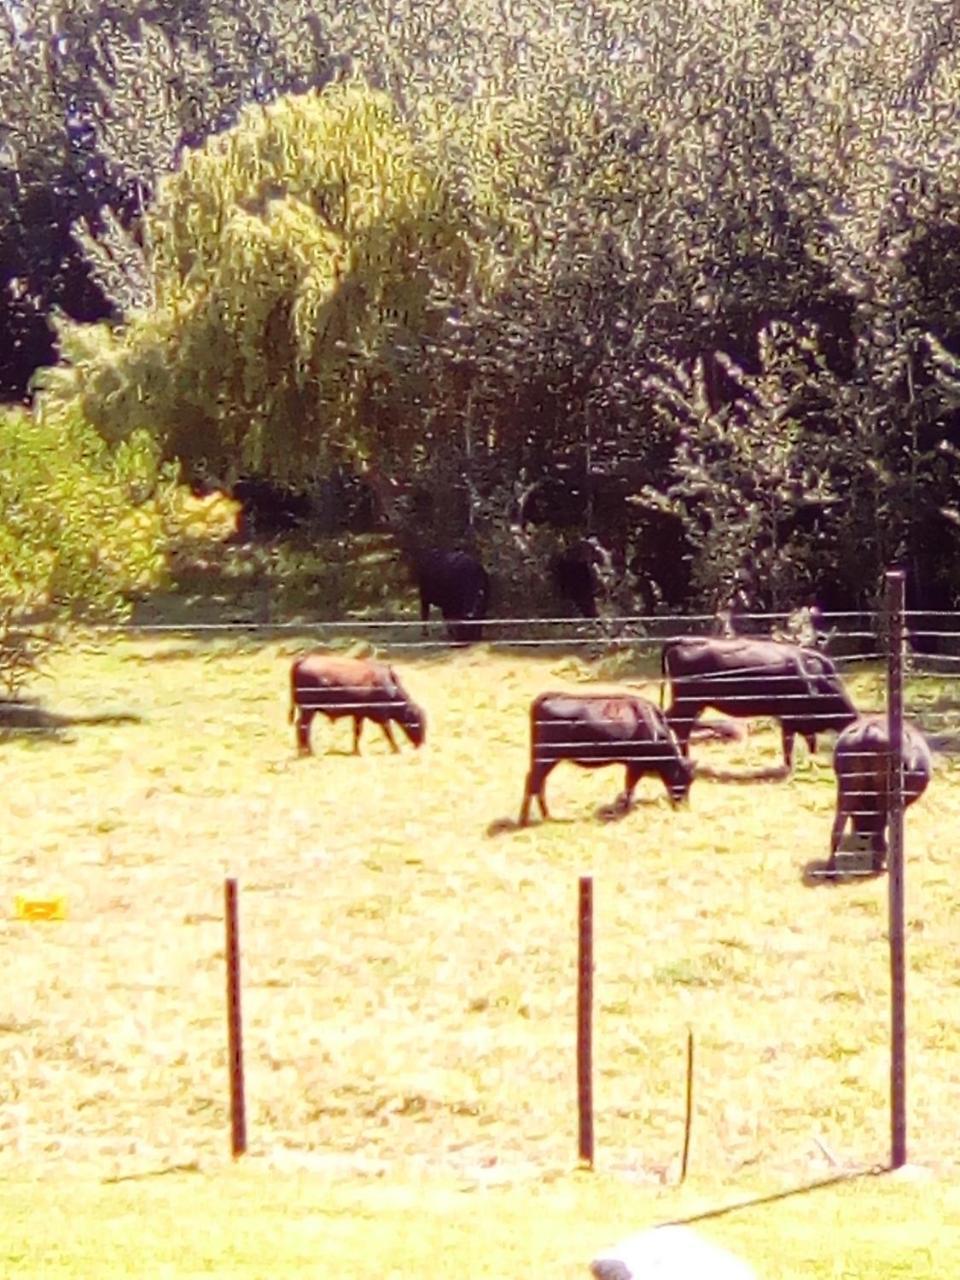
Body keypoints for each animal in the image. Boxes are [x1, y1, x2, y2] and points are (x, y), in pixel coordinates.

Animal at [288, 655, 427, 752]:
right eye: (417, 721)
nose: (421, 743)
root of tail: (303, 659)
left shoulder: (359, 715)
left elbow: (357, 732)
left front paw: (356, 751)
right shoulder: (382, 716)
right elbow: (388, 732)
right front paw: (397, 749)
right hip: (308, 710)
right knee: (303, 726)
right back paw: (309, 751)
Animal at [522, 696, 696, 824]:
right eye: (684, 778)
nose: (685, 806)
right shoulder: (636, 764)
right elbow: (630, 786)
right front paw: (624, 810)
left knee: (538, 782)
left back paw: (545, 816)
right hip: (546, 755)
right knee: (533, 781)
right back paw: (526, 820)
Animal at [660, 634, 855, 762]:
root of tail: (683, 640)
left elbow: (809, 741)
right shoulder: (791, 717)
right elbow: (789, 744)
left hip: (694, 703)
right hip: (688, 702)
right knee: (677, 724)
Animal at [829, 716, 936, 875]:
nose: (861, 833)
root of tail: (869, 734)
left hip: (846, 788)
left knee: (838, 826)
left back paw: (831, 869)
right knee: (881, 827)